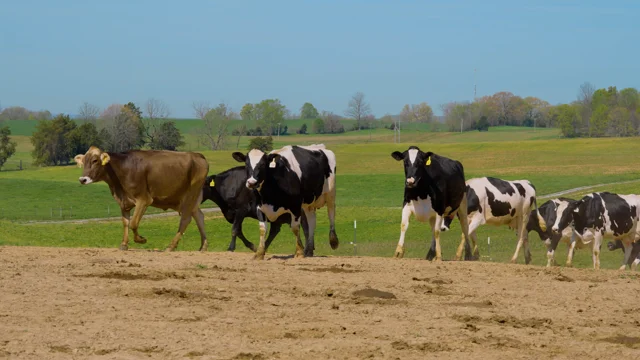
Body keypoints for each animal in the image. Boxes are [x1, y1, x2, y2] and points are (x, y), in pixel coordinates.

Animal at [74, 146, 210, 250]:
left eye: (95, 160)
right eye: (84, 161)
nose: (82, 179)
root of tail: (197, 155)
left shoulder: (144, 199)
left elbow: (133, 223)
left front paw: (141, 240)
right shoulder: (123, 202)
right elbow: (125, 222)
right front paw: (124, 244)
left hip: (190, 195)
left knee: (186, 220)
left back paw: (171, 246)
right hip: (191, 199)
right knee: (199, 216)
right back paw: (203, 246)